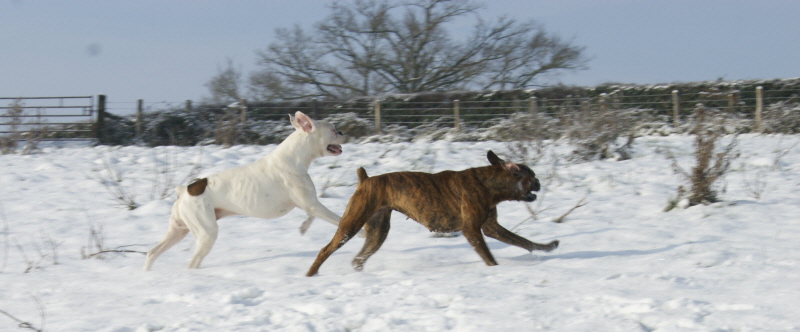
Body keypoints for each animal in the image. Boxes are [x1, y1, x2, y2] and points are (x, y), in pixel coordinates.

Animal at [145, 111, 346, 270]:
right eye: (333, 129)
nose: (342, 132)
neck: (294, 155)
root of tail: (185, 190)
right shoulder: (312, 204)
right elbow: (338, 221)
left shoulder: (307, 203)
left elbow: (310, 216)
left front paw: (303, 228)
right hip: (206, 233)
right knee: (193, 261)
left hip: (178, 230)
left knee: (152, 252)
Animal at [304, 150, 560, 274]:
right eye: (532, 176)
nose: (539, 182)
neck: (488, 183)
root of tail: (365, 179)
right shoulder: (473, 230)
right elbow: (489, 256)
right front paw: (496, 269)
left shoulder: (492, 228)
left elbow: (523, 241)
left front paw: (546, 248)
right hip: (351, 225)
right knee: (325, 250)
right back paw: (311, 276)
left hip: (377, 232)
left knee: (358, 257)